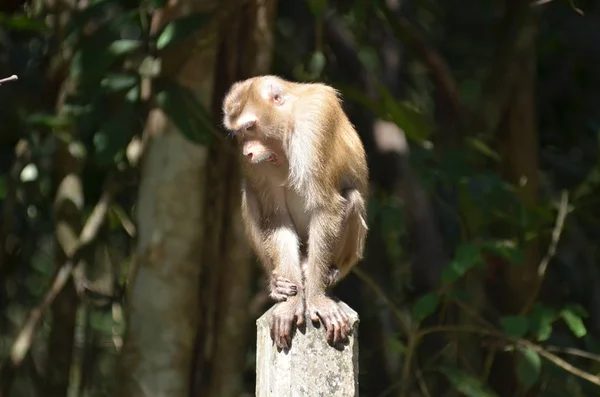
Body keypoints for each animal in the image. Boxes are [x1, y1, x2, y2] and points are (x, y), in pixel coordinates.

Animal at [223, 76, 368, 348]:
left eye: (250, 127)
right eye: (238, 133)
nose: (247, 151)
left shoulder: (316, 122)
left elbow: (325, 206)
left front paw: (317, 298)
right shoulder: (256, 164)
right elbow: (276, 218)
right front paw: (290, 304)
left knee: (352, 198)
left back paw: (327, 273)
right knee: (250, 194)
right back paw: (278, 284)